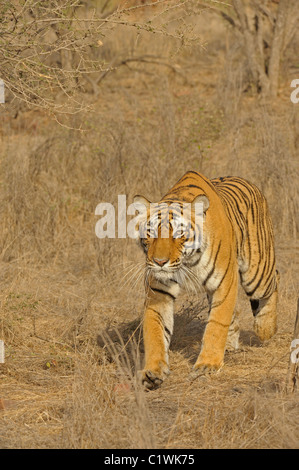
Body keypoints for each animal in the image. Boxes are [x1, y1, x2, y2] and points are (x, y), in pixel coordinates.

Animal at [135, 171, 280, 388]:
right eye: (150, 233)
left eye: (179, 234)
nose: (159, 262)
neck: (187, 262)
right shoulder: (159, 292)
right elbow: (155, 331)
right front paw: (152, 371)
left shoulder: (224, 282)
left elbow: (216, 325)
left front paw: (207, 366)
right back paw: (230, 345)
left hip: (257, 274)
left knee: (274, 279)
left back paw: (265, 329)